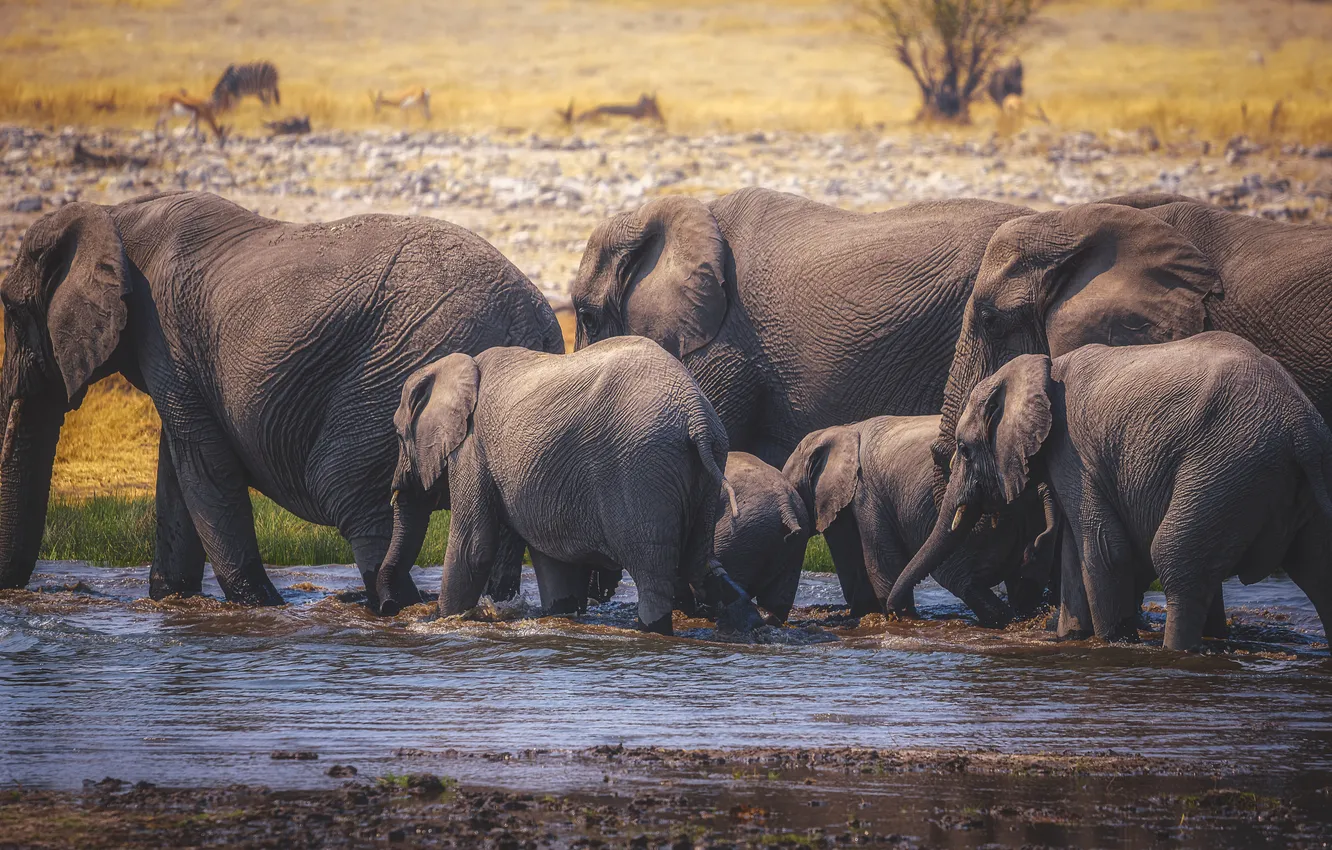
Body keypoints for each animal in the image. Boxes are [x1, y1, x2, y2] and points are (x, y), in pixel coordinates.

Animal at [0, 191, 562, 606]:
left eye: (11, 308)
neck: (115, 215)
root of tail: (537, 318)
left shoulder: (165, 337)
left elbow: (203, 467)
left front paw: (259, 606)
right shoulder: (175, 354)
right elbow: (178, 470)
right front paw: (172, 601)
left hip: (405, 356)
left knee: (347, 492)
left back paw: (390, 605)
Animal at [373, 336, 766, 636]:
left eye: (398, 435)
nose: (389, 607)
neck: (457, 366)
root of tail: (695, 412)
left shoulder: (472, 448)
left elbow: (474, 546)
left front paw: (441, 622)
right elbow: (551, 557)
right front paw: (561, 615)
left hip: (641, 468)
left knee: (653, 575)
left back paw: (652, 630)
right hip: (706, 466)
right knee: (700, 564)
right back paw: (752, 626)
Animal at [782, 415, 1051, 625]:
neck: (843, 429)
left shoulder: (865, 494)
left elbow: (880, 563)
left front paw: (897, 616)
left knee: (958, 578)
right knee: (1024, 581)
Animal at [892, 333, 1332, 651]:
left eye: (964, 449)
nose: (898, 617)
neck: (1039, 368)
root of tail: (1301, 425)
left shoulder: (1073, 451)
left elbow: (1103, 547)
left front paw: (1110, 643)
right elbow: (1074, 549)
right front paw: (1069, 637)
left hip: (1227, 464)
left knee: (1175, 558)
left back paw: (1176, 652)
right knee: (1318, 572)